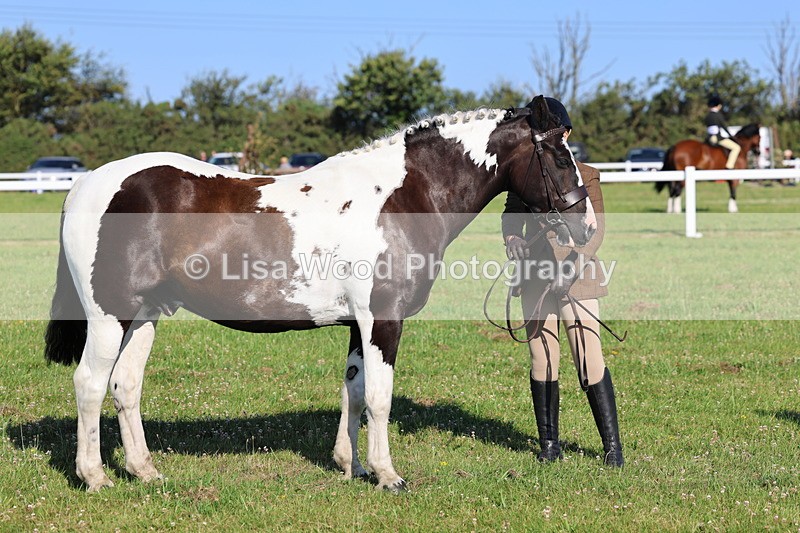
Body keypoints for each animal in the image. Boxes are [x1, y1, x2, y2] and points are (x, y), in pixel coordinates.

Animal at [43, 95, 596, 493]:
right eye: (558, 154)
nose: (586, 227)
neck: (401, 196)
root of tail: (88, 183)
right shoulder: (382, 319)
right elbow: (378, 396)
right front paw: (387, 475)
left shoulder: (358, 324)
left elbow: (353, 389)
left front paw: (351, 466)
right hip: (109, 316)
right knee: (90, 384)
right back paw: (95, 477)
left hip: (146, 315)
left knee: (126, 385)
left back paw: (145, 470)